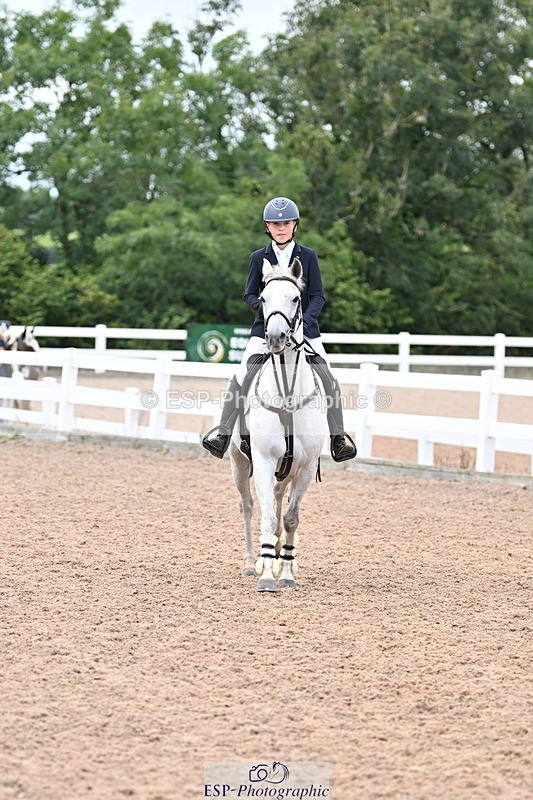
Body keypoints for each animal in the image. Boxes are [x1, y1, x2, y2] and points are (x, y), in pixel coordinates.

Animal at [229, 258, 328, 592]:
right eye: (262, 298)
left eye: (296, 298)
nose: (275, 338)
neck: (286, 393)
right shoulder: (261, 460)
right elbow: (267, 517)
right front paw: (266, 578)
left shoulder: (306, 467)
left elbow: (290, 518)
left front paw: (284, 573)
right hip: (237, 462)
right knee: (248, 506)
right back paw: (252, 563)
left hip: (286, 471)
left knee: (276, 498)